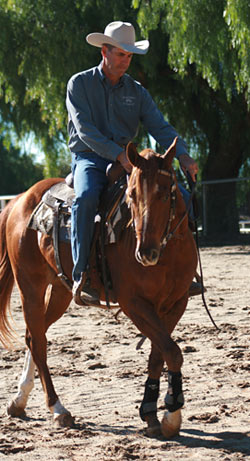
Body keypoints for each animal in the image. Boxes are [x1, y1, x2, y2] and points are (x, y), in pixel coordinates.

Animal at [0, 138, 197, 436]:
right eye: (131, 195)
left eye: (165, 193)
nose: (145, 253)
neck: (168, 254)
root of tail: (19, 200)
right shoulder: (134, 303)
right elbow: (172, 352)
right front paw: (171, 417)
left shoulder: (176, 303)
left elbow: (159, 353)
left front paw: (151, 411)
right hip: (30, 286)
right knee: (39, 342)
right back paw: (58, 409)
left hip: (60, 291)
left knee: (33, 336)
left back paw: (19, 400)